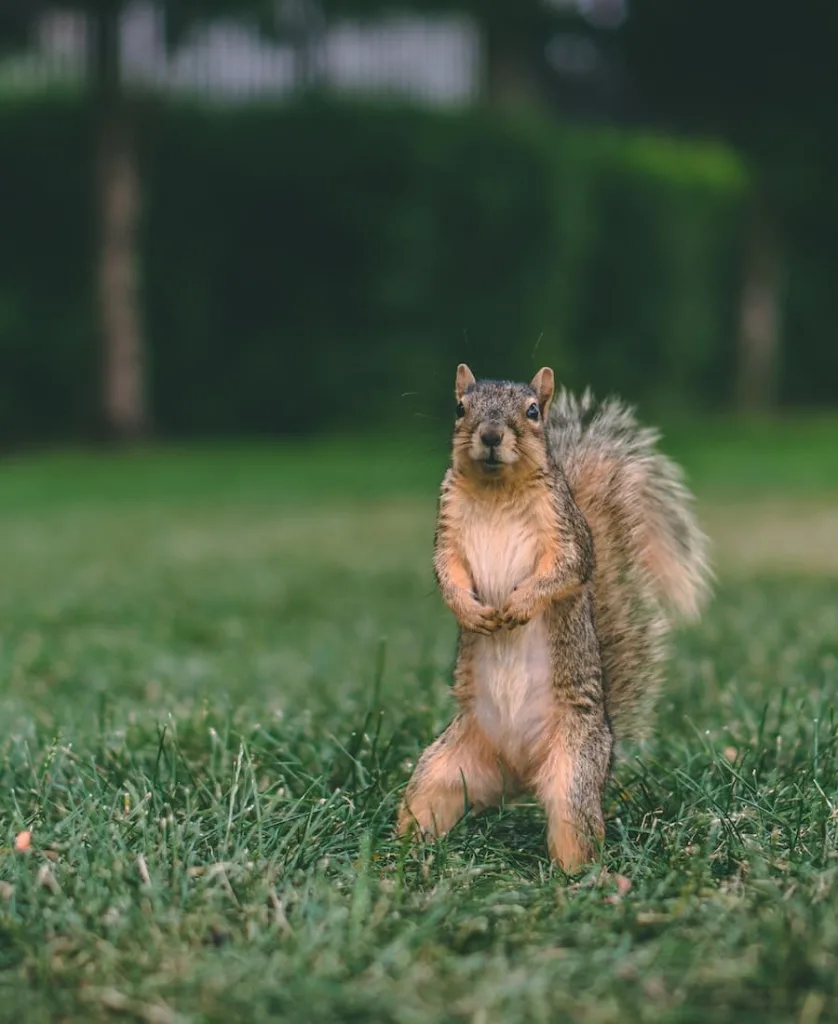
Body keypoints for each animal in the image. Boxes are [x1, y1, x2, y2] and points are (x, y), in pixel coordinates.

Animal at [395, 364, 708, 868]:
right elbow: (447, 572)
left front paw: (519, 604)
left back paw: (579, 876)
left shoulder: (566, 530)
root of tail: (519, 773)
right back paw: (395, 857)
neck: (496, 488)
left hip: (573, 768)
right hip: (443, 770)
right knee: (424, 801)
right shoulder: (447, 529)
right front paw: (471, 611)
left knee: (574, 825)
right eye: (460, 407)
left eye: (533, 412)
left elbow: (567, 569)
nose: (490, 435)